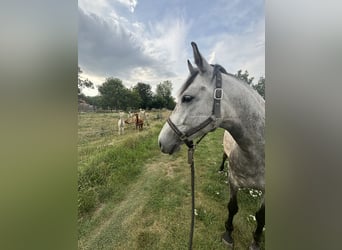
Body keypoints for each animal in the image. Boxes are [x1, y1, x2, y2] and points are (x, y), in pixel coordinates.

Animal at [158, 42, 264, 249]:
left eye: (187, 98)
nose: (161, 141)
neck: (257, 153)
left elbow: (260, 218)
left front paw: (255, 242)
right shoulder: (234, 180)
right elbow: (232, 207)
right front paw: (228, 234)